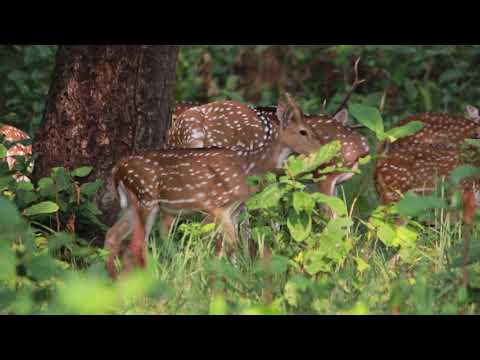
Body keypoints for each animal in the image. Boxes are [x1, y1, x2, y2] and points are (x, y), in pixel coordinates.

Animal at [104, 93, 322, 278]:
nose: (321, 147)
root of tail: (116, 171)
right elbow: (222, 243)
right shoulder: (218, 207)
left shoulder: (230, 210)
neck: (248, 166)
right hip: (147, 201)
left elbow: (227, 244)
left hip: (135, 206)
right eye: (303, 131)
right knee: (139, 244)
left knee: (114, 235)